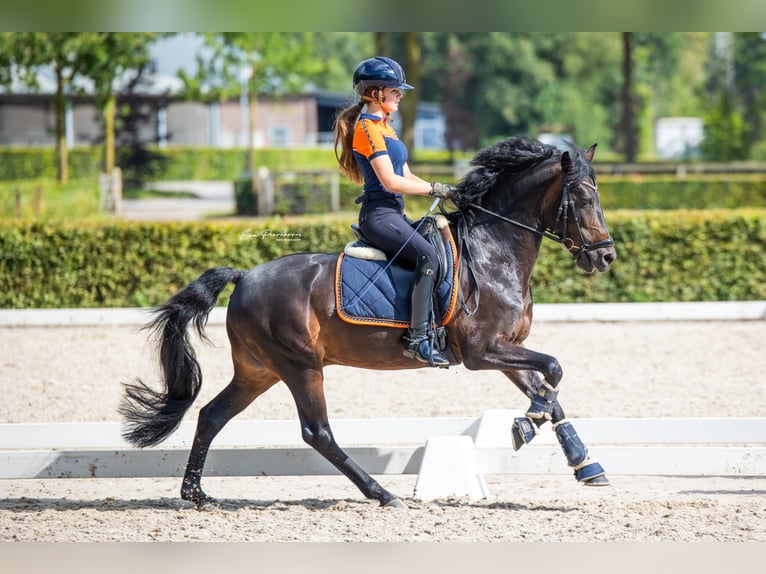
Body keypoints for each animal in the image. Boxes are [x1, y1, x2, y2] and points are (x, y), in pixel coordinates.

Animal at [123, 138, 620, 508]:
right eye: (584, 198)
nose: (606, 258)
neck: (492, 252)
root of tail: (244, 276)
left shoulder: (505, 350)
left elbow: (549, 391)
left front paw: (585, 464)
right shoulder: (483, 352)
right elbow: (554, 371)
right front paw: (525, 427)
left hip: (259, 370)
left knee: (211, 415)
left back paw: (196, 494)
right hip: (300, 365)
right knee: (317, 432)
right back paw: (382, 493)